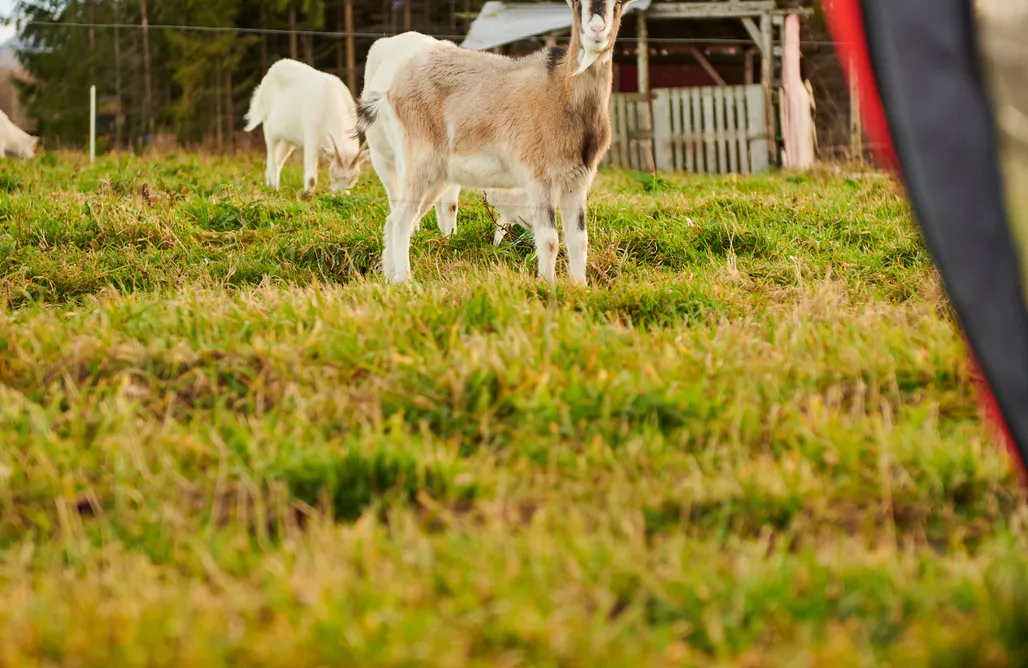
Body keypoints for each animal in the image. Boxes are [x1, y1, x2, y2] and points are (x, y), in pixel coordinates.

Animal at [242, 57, 368, 194]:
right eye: (333, 176)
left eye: (352, 180)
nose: (339, 195)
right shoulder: (311, 138)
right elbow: (311, 178)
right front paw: (307, 194)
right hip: (270, 129)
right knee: (271, 160)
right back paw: (272, 189)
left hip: (288, 140)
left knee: (278, 162)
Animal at [353, 0, 633, 285]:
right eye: (577, 4)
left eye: (618, 4)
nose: (597, 31)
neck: (559, 90)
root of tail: (390, 90)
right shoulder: (539, 177)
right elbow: (550, 240)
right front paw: (548, 286)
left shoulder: (577, 180)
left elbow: (579, 241)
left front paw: (579, 287)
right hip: (417, 163)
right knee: (400, 220)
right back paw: (406, 282)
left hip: (436, 176)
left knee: (395, 220)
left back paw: (391, 278)